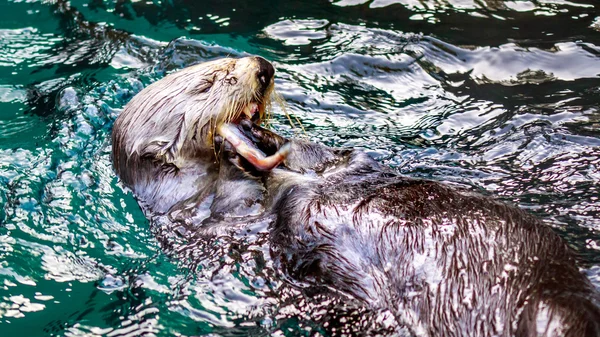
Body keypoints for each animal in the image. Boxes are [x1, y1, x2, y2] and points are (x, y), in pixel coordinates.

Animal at [112, 56, 600, 334]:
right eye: (208, 83)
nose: (262, 67)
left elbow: (335, 158)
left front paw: (276, 145)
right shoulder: (204, 224)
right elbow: (250, 207)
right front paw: (254, 165)